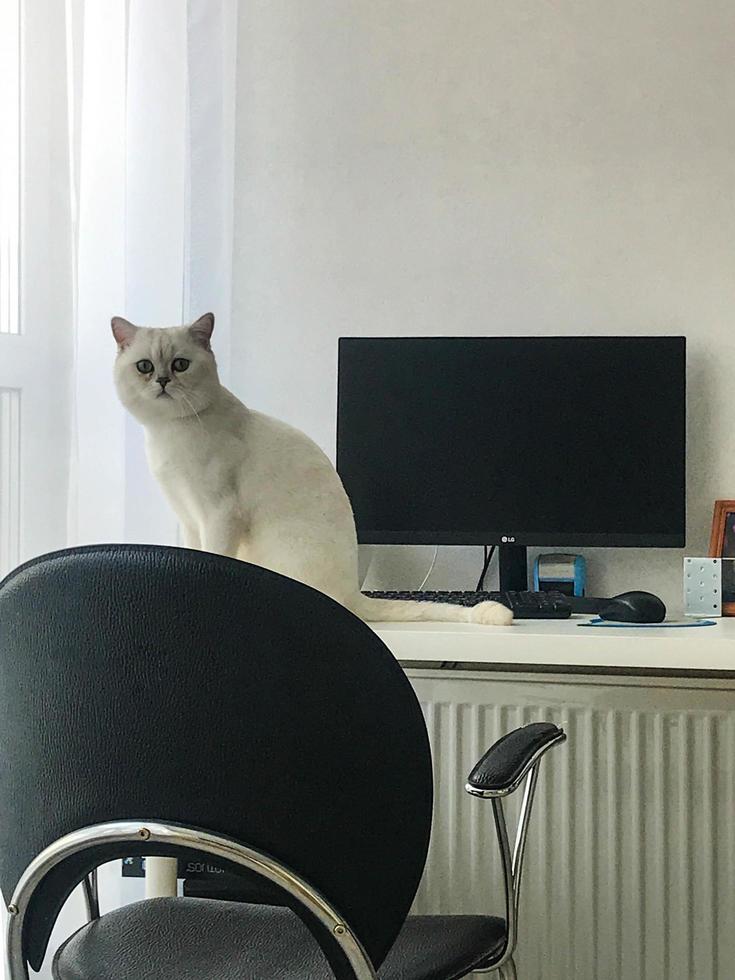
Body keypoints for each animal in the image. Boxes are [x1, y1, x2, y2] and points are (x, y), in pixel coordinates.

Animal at [112, 314, 516, 628]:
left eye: (180, 364)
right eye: (145, 366)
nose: (163, 381)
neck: (167, 433)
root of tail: (354, 595)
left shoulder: (218, 515)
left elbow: (213, 557)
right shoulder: (190, 517)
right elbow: (194, 553)